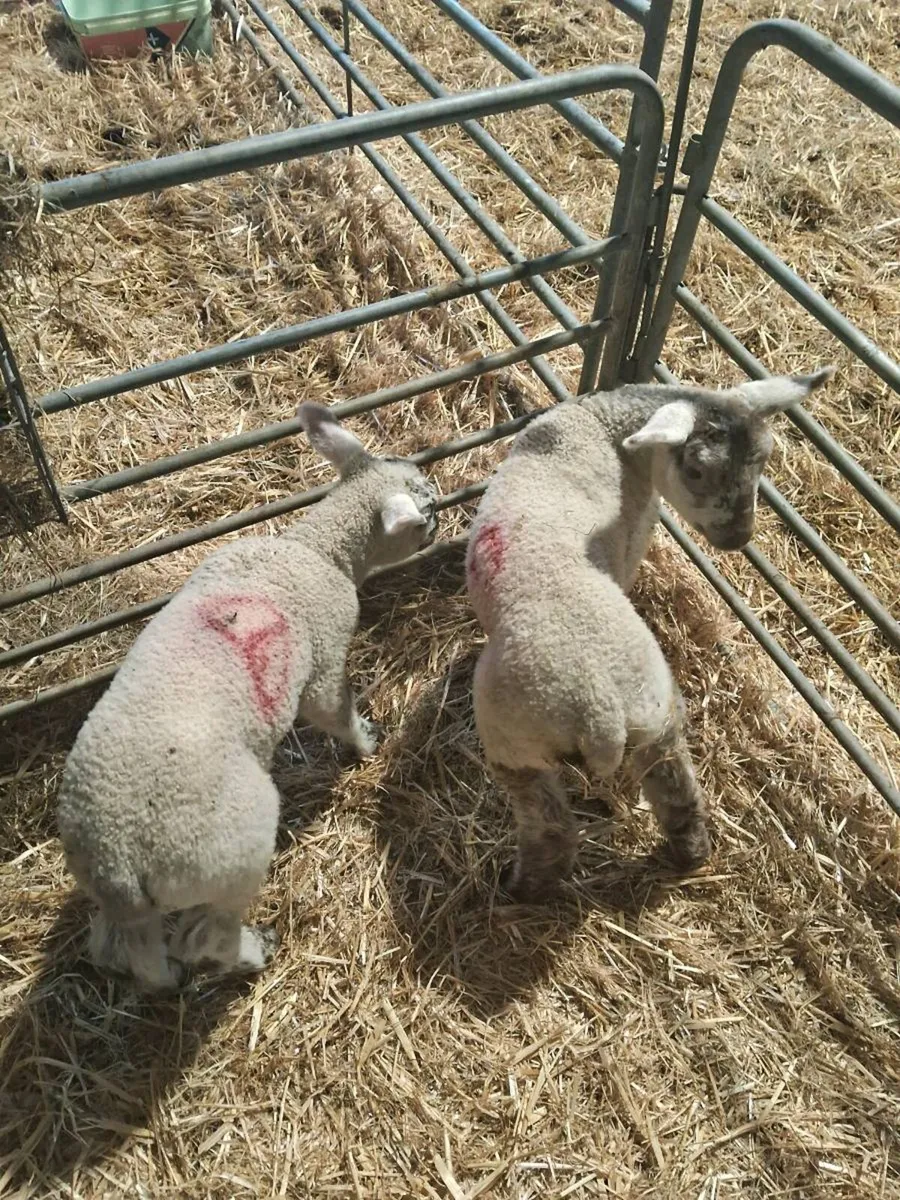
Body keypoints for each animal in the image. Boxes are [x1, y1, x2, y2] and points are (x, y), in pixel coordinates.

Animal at [57, 403, 439, 991]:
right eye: (425, 507)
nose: (441, 518)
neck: (318, 548)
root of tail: (118, 862)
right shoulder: (324, 659)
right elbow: (335, 710)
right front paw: (368, 742)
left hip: (119, 894)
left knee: (123, 949)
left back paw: (158, 972)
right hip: (230, 854)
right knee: (204, 936)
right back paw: (255, 950)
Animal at [466, 368, 834, 902]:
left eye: (763, 461)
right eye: (697, 471)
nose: (739, 538)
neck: (603, 426)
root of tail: (599, 711)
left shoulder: (634, 537)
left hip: (514, 742)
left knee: (553, 830)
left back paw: (520, 890)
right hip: (654, 716)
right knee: (678, 795)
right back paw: (688, 857)